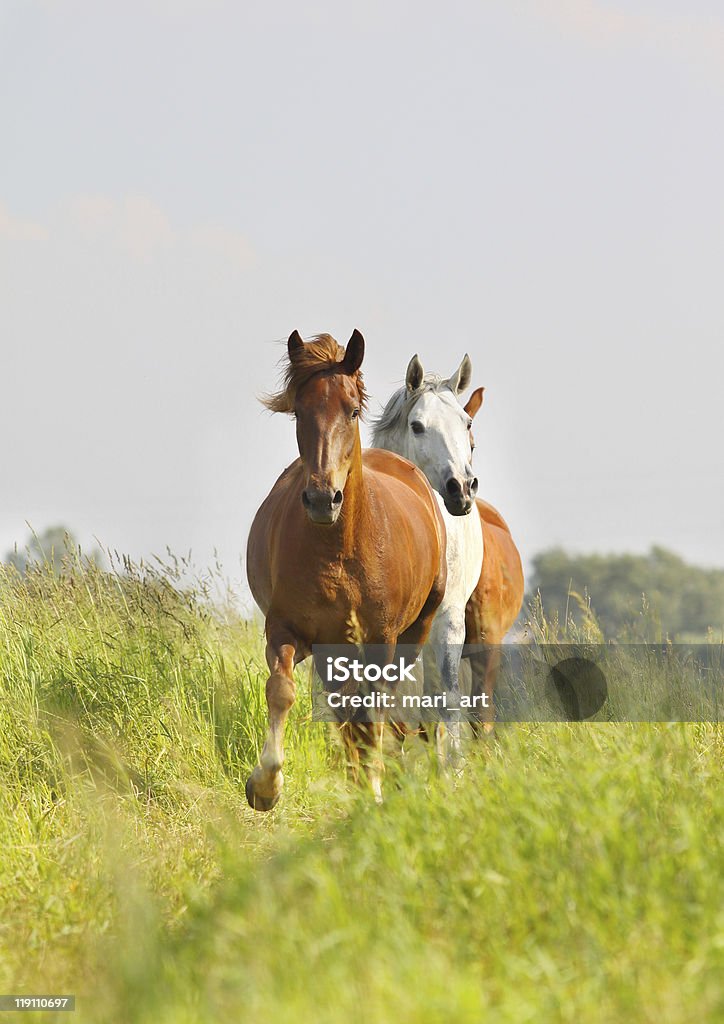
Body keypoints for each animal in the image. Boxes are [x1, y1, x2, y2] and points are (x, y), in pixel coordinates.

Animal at [246, 331, 444, 811]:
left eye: (352, 410)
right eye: (300, 411)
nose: (322, 499)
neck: (338, 551)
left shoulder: (380, 642)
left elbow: (371, 713)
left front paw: (372, 790)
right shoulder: (285, 629)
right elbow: (281, 691)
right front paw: (265, 785)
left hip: (412, 634)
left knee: (378, 711)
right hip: (334, 652)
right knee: (345, 713)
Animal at [374, 352, 487, 761]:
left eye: (466, 423)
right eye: (417, 425)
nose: (461, 489)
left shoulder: (449, 620)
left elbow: (447, 700)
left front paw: (453, 767)